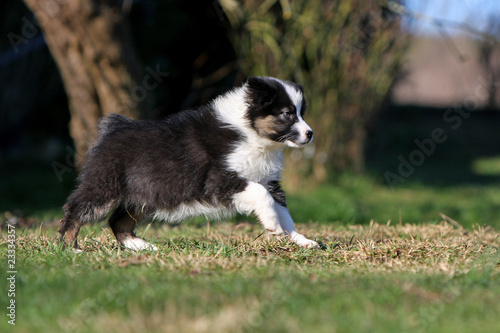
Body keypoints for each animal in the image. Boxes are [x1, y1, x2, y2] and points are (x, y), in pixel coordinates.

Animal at [60, 75, 318, 249]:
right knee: (76, 209)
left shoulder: (269, 181)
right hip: (105, 185)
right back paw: (70, 248)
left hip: (144, 195)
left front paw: (301, 240)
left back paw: (142, 247)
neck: (252, 134)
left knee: (118, 221)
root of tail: (115, 126)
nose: (310, 134)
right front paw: (274, 227)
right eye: (287, 113)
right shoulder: (220, 180)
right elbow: (261, 195)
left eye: (301, 112)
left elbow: (284, 212)